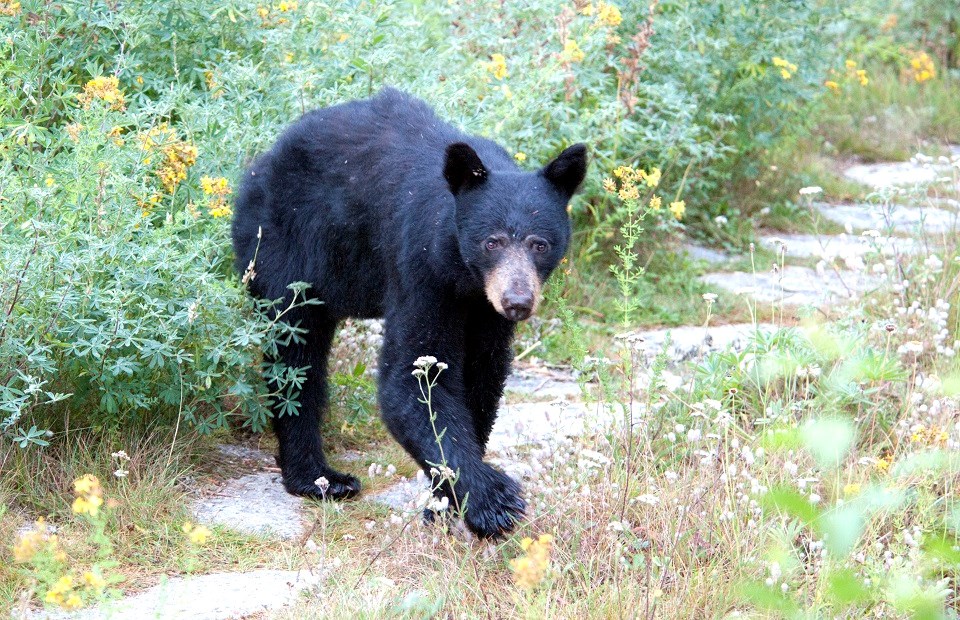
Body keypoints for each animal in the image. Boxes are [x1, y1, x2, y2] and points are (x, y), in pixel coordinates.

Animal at [236, 87, 588, 536]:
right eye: (491, 242)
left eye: (539, 244)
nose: (517, 301)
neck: (464, 276)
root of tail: (260, 163)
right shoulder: (421, 267)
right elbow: (414, 376)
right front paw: (494, 501)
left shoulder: (484, 309)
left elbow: (482, 377)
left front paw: (443, 503)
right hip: (284, 245)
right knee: (296, 352)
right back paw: (319, 477)